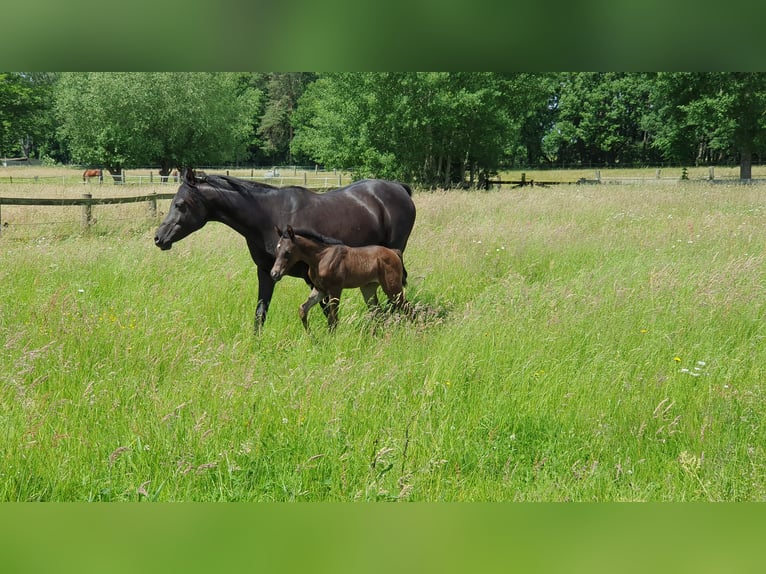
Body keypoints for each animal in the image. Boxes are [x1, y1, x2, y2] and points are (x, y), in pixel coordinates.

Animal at [272, 226, 412, 330]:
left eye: (287, 252)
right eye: (276, 250)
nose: (274, 274)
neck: (320, 258)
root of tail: (394, 252)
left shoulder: (335, 289)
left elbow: (333, 318)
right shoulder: (320, 289)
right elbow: (303, 309)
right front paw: (311, 337)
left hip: (392, 288)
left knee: (407, 308)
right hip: (368, 289)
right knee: (378, 312)